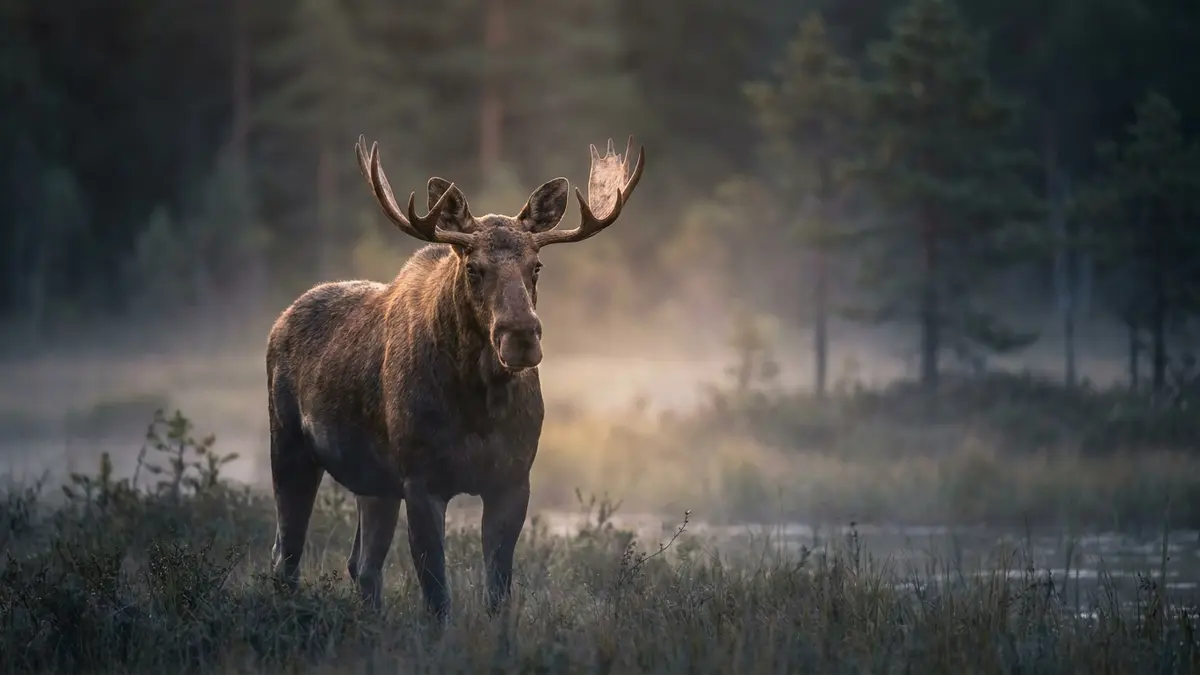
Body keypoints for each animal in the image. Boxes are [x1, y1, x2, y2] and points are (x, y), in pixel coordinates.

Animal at [264, 134, 645, 620]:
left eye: (536, 266)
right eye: (473, 267)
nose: (521, 336)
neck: (479, 404)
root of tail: (281, 320)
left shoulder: (512, 480)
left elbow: (497, 593)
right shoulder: (421, 481)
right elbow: (437, 596)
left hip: (374, 483)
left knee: (361, 565)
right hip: (290, 447)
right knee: (286, 556)